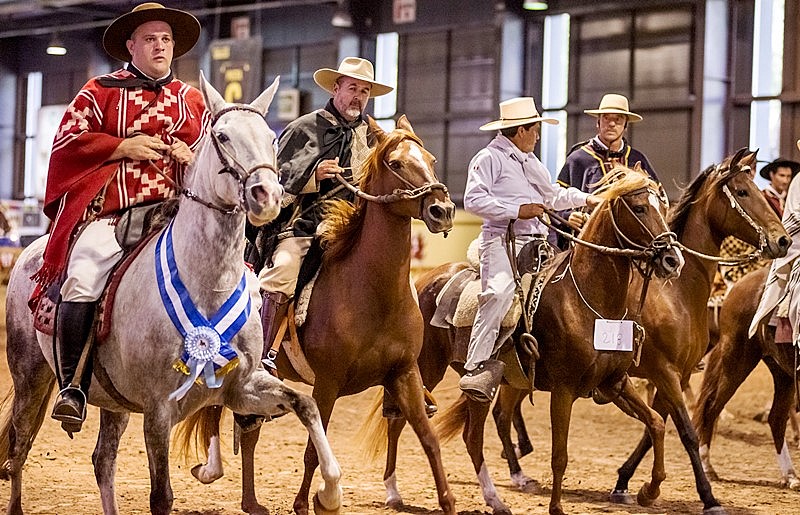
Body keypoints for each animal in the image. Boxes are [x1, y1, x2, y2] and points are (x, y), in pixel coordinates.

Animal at [180, 116, 456, 515]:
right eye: (396, 163)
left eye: (431, 160)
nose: (442, 210)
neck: (373, 292)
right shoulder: (327, 383)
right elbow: (313, 450)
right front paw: (313, 500)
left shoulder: (404, 375)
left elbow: (428, 438)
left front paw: (447, 501)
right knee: (219, 413)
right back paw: (212, 469)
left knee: (248, 430)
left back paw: (251, 501)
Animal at [412, 169, 680, 515]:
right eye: (639, 208)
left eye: (663, 206)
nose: (673, 259)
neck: (588, 301)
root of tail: (425, 281)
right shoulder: (563, 390)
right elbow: (559, 455)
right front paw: (556, 507)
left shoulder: (615, 383)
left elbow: (657, 423)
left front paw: (649, 490)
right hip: (427, 369)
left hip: (487, 387)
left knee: (473, 437)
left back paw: (497, 499)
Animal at [692, 266, 800, 492]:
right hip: (737, 359)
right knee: (711, 408)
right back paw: (707, 466)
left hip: (782, 372)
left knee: (776, 419)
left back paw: (790, 476)